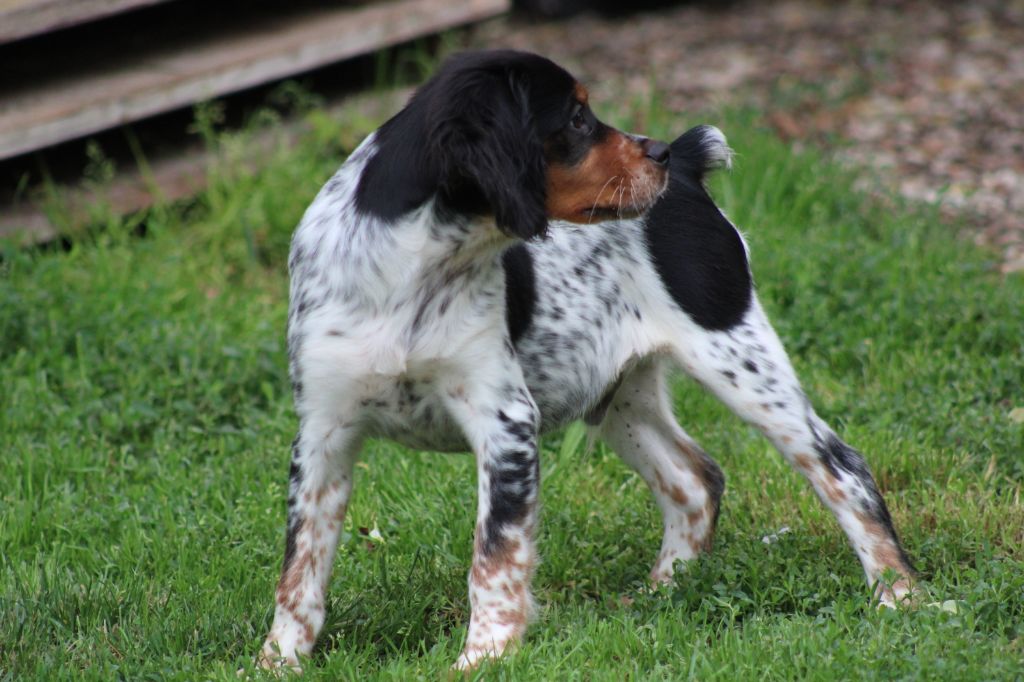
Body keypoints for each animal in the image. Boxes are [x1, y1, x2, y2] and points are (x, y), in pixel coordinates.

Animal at [260, 49, 917, 667]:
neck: (414, 269)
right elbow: (300, 567)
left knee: (843, 469)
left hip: (737, 358)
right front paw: (278, 660)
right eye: (576, 119)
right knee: (695, 478)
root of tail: (690, 171)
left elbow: (494, 553)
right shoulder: (322, 433)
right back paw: (663, 591)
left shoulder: (505, 421)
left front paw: (483, 656)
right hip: (618, 394)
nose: (658, 153)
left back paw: (899, 594)